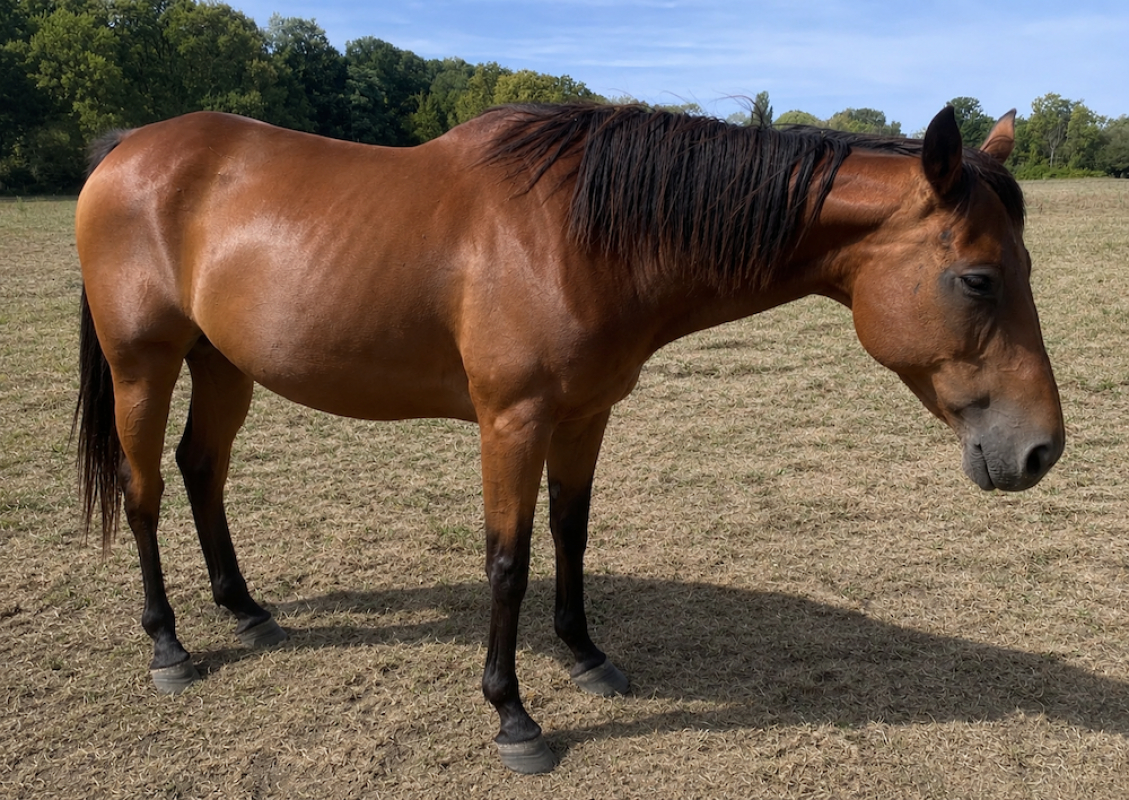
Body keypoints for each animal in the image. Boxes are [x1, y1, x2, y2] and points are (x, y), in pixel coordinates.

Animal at [74, 102, 1064, 774]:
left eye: (1024, 264)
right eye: (978, 278)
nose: (1040, 450)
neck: (576, 238)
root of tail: (128, 149)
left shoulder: (586, 414)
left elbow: (570, 536)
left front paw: (586, 657)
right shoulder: (511, 422)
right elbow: (507, 560)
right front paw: (513, 717)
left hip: (223, 364)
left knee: (202, 470)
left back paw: (243, 608)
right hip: (142, 365)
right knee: (144, 491)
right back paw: (169, 647)